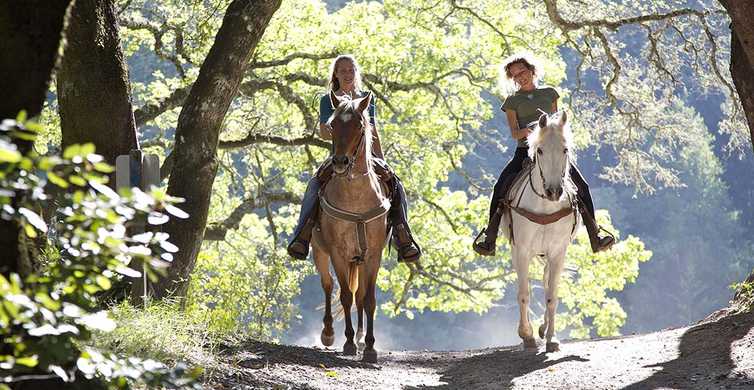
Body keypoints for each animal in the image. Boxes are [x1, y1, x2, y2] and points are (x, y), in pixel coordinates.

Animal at [310, 90, 388, 362]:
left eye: (360, 125)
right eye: (333, 125)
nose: (341, 162)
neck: (356, 200)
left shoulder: (373, 255)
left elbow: (369, 299)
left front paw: (371, 347)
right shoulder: (338, 253)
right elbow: (344, 295)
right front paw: (348, 343)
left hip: (360, 260)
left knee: (361, 296)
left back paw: (363, 339)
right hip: (319, 252)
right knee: (328, 285)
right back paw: (329, 333)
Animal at [500, 111, 580, 352]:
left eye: (565, 149)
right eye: (540, 150)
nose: (554, 191)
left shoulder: (558, 252)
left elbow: (552, 295)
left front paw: (552, 338)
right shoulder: (522, 250)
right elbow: (524, 294)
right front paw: (526, 335)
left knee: (545, 283)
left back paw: (544, 328)